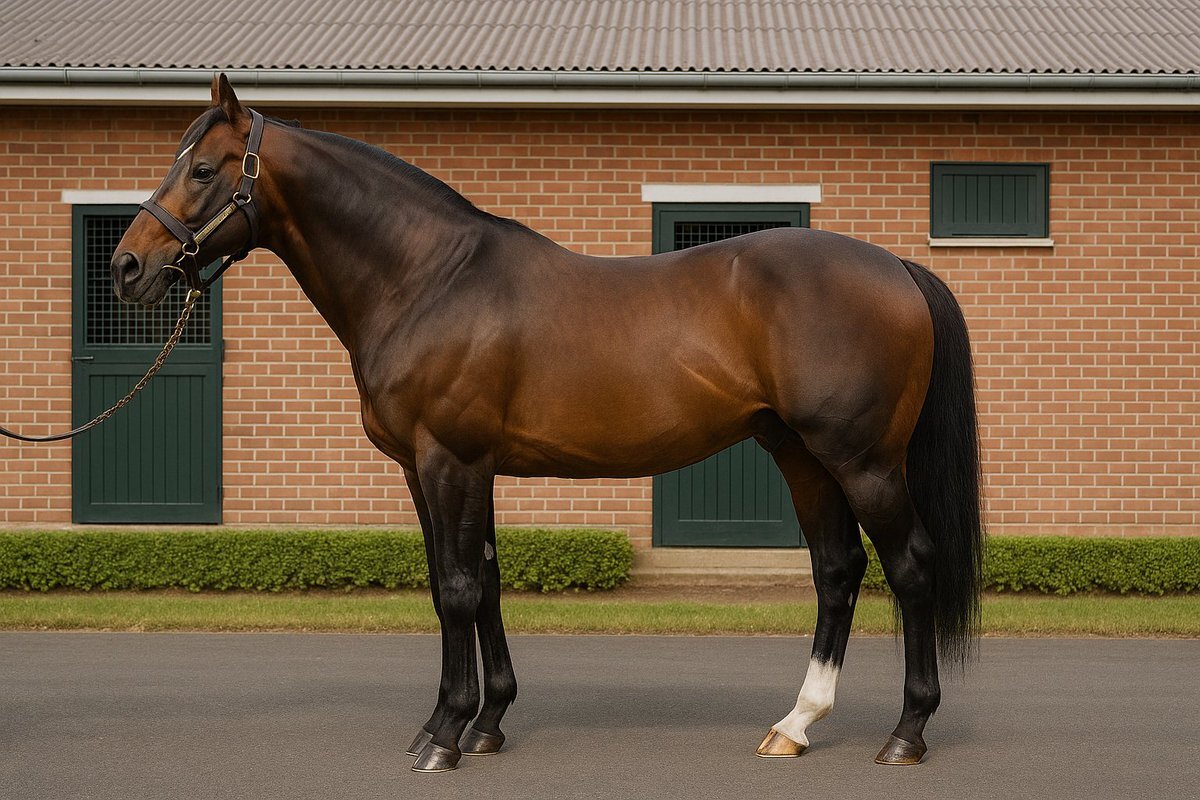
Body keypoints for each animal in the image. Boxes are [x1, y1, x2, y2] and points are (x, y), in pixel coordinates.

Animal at [112, 75, 983, 772]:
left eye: (202, 169)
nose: (127, 266)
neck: (429, 278)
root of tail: (897, 268)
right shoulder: (445, 467)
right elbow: (481, 579)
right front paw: (488, 721)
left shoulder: (450, 460)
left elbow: (457, 588)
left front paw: (443, 735)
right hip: (800, 455)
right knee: (837, 570)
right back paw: (795, 725)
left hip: (864, 461)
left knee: (910, 567)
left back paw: (905, 734)